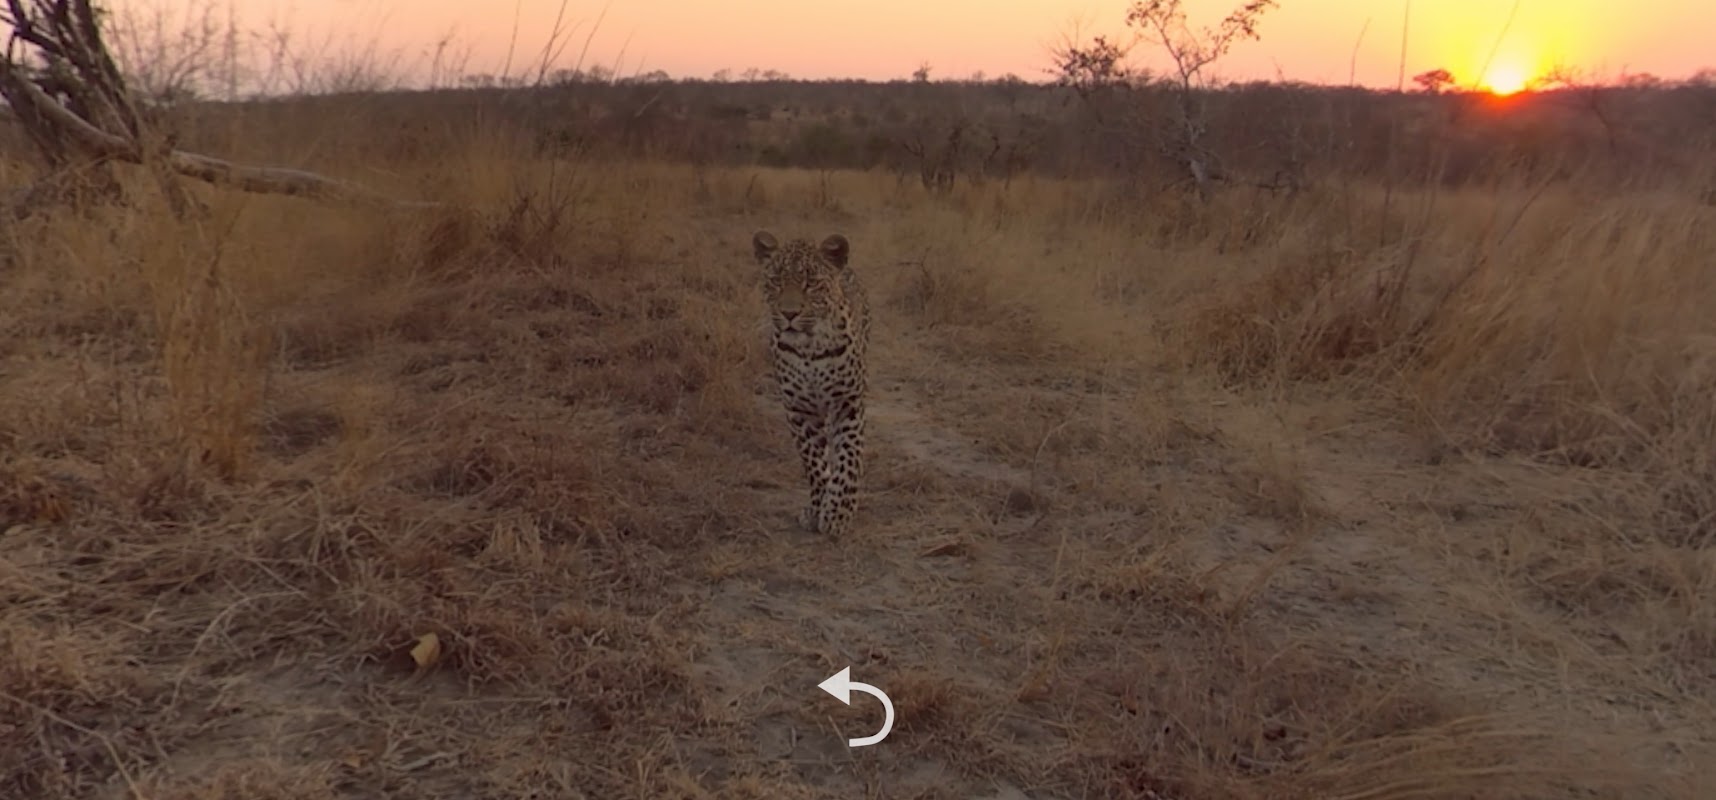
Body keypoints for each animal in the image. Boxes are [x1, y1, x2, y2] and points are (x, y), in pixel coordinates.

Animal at [753, 229, 872, 537]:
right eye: (776, 281)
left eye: (811, 283)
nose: (789, 314)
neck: (809, 349)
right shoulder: (798, 408)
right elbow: (813, 463)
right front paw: (818, 507)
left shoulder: (847, 401)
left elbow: (849, 457)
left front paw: (839, 512)